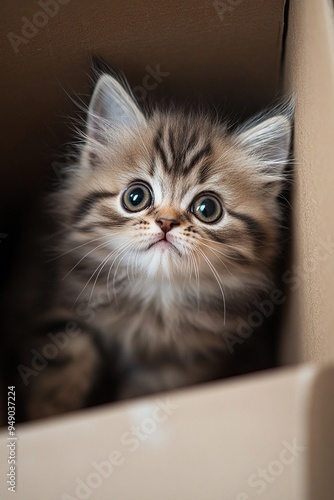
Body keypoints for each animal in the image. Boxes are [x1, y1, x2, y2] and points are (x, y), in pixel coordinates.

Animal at [18, 73, 292, 418]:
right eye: (136, 197)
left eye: (208, 208)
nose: (166, 223)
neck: (154, 297)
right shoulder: (59, 297)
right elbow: (68, 351)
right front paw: (50, 410)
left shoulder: (181, 361)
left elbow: (147, 393)